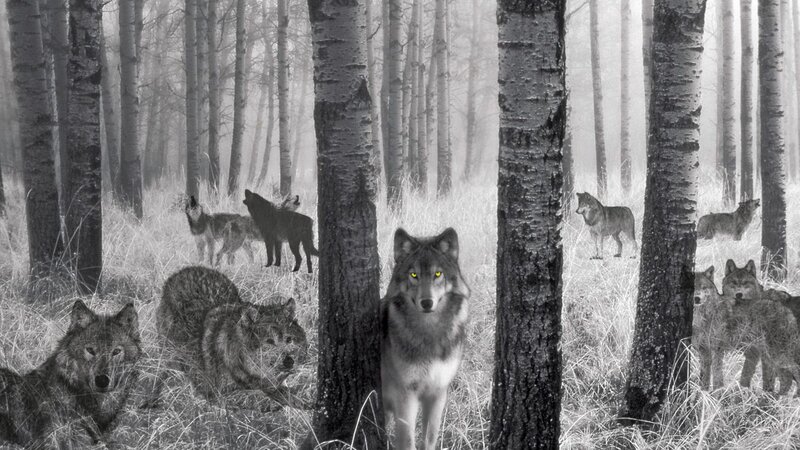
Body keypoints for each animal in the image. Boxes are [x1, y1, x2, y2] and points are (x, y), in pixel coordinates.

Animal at [381, 228, 470, 450]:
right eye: (414, 275)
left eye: (437, 274)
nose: (427, 302)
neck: (429, 333)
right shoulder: (406, 395)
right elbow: (407, 441)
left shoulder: (438, 392)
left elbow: (429, 438)